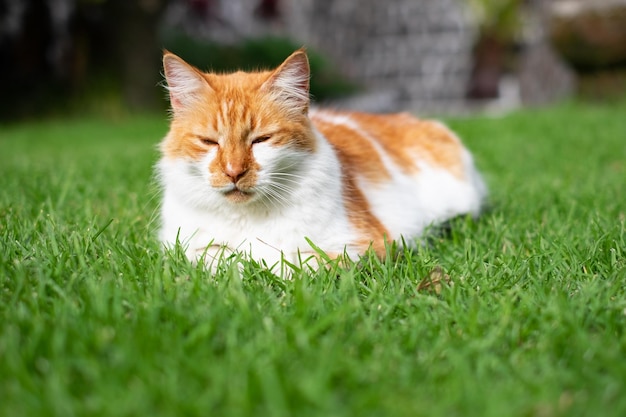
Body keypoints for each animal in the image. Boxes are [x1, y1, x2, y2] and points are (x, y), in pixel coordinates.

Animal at [155, 48, 482, 270]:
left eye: (262, 140)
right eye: (209, 142)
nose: (234, 172)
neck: (247, 216)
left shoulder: (361, 247)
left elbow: (290, 265)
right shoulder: (184, 246)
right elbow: (219, 259)